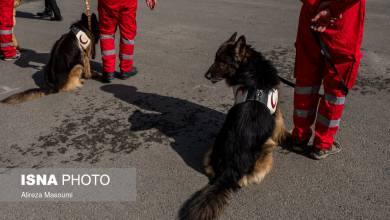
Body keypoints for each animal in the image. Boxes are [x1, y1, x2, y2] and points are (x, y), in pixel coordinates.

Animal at [179, 33, 286, 220]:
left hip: (212, 150)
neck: (250, 67)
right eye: (216, 59)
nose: (206, 75)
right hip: (267, 151)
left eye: (221, 61)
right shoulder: (276, 114)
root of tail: (229, 170)